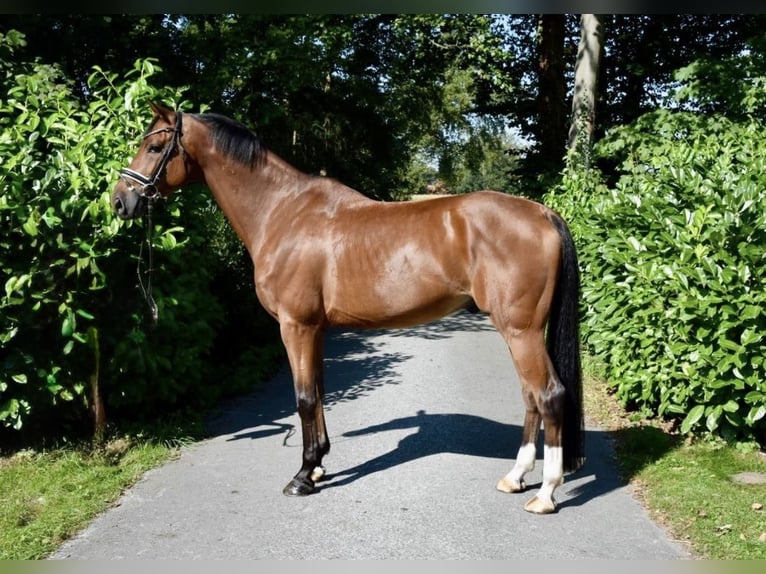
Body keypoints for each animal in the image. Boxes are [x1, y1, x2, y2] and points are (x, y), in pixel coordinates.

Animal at [112, 102, 585, 514]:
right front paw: (319, 464)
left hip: (520, 330)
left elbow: (303, 398)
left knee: (549, 394)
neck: (281, 212)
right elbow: (319, 393)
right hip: (518, 332)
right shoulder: (316, 330)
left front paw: (301, 477)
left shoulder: (296, 326)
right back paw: (515, 476)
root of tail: (543, 213)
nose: (120, 201)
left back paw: (545, 493)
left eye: (155, 147)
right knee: (530, 397)